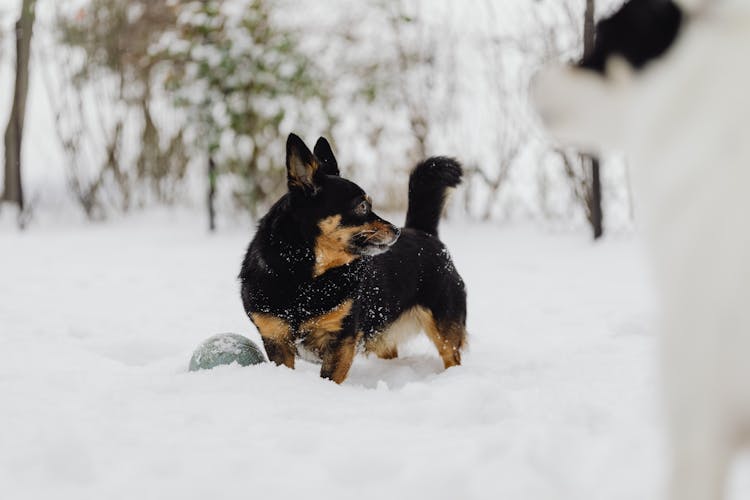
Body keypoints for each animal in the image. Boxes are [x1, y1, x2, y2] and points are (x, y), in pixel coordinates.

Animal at [241, 133, 468, 382]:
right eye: (362, 206)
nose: (396, 231)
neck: (305, 277)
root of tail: (423, 232)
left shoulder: (340, 340)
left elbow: (328, 378)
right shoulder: (275, 339)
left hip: (444, 327)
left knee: (451, 356)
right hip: (382, 334)